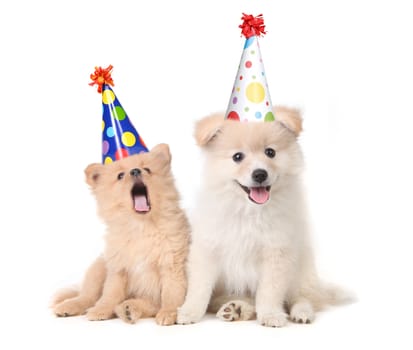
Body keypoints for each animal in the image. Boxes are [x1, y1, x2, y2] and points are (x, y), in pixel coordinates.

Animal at [52, 143, 189, 326]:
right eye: (120, 175)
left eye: (147, 169)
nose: (136, 171)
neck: (141, 226)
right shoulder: (118, 269)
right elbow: (110, 294)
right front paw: (101, 310)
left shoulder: (171, 265)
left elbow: (171, 293)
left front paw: (169, 313)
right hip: (98, 268)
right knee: (88, 296)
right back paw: (69, 306)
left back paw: (128, 309)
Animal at [177, 108, 348, 326]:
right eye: (237, 157)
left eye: (270, 152)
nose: (260, 174)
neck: (249, 210)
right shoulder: (208, 248)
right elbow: (199, 287)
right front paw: (189, 312)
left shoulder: (277, 252)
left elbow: (269, 291)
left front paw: (271, 315)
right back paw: (235, 309)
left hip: (302, 270)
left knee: (302, 297)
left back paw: (301, 312)